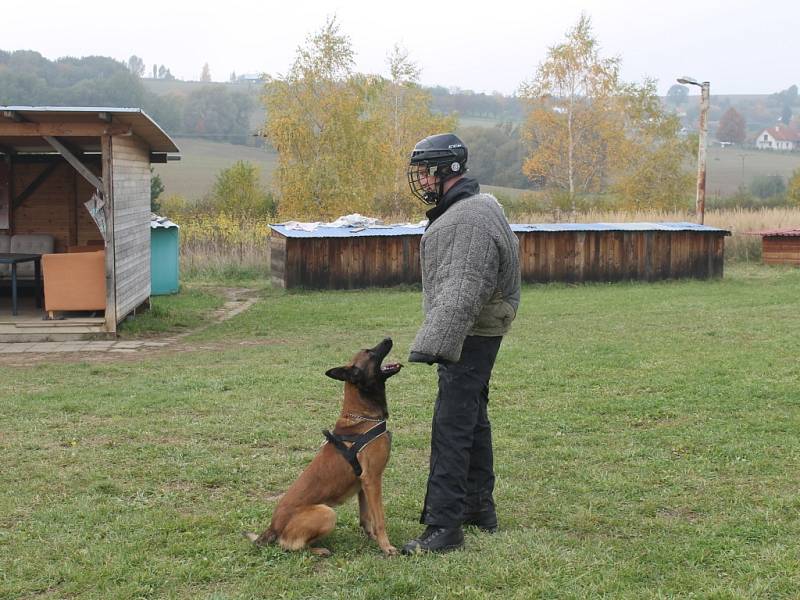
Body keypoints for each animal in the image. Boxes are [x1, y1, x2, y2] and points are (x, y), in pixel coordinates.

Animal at [244, 340, 404, 556]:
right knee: (290, 545)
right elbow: (379, 519)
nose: (388, 338)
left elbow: (366, 518)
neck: (363, 416)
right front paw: (386, 547)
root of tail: (273, 527)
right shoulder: (372, 479)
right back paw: (319, 550)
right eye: (370, 352)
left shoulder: (363, 483)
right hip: (327, 512)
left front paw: (372, 539)